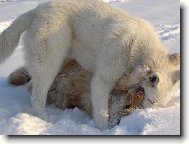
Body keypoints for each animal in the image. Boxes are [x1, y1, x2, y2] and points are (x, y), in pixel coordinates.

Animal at [0, 0, 180, 130]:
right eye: (150, 101)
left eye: (155, 105)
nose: (139, 111)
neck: (138, 50)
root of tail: (38, 9)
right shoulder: (101, 81)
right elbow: (102, 113)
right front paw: (103, 130)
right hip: (50, 65)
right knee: (37, 96)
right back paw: (44, 120)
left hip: (61, 62)